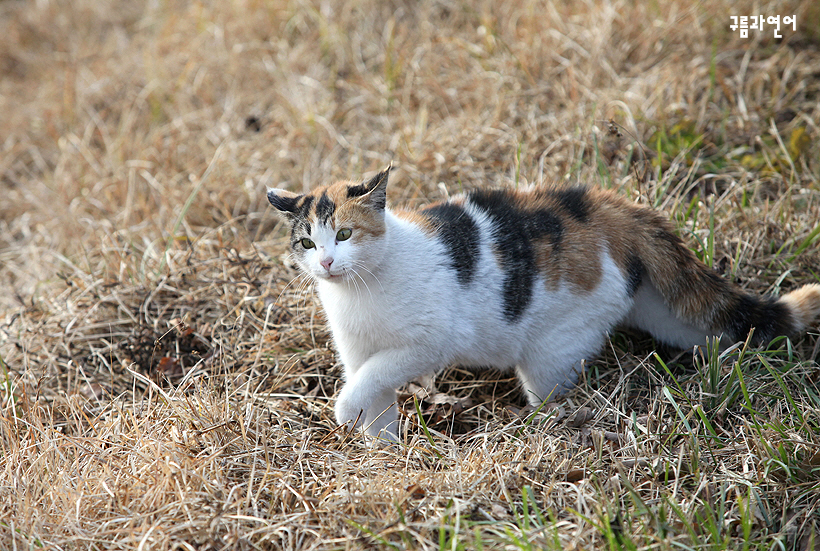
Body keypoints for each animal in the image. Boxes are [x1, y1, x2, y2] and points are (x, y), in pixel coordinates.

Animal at [270, 164, 820, 440]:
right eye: (307, 243)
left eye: (344, 234)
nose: (326, 263)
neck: (359, 290)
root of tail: (611, 207)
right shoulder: (358, 354)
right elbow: (372, 394)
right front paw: (384, 453)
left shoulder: (427, 343)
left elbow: (370, 382)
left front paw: (345, 414)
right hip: (662, 312)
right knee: (716, 330)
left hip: (550, 352)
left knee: (551, 394)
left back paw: (540, 427)